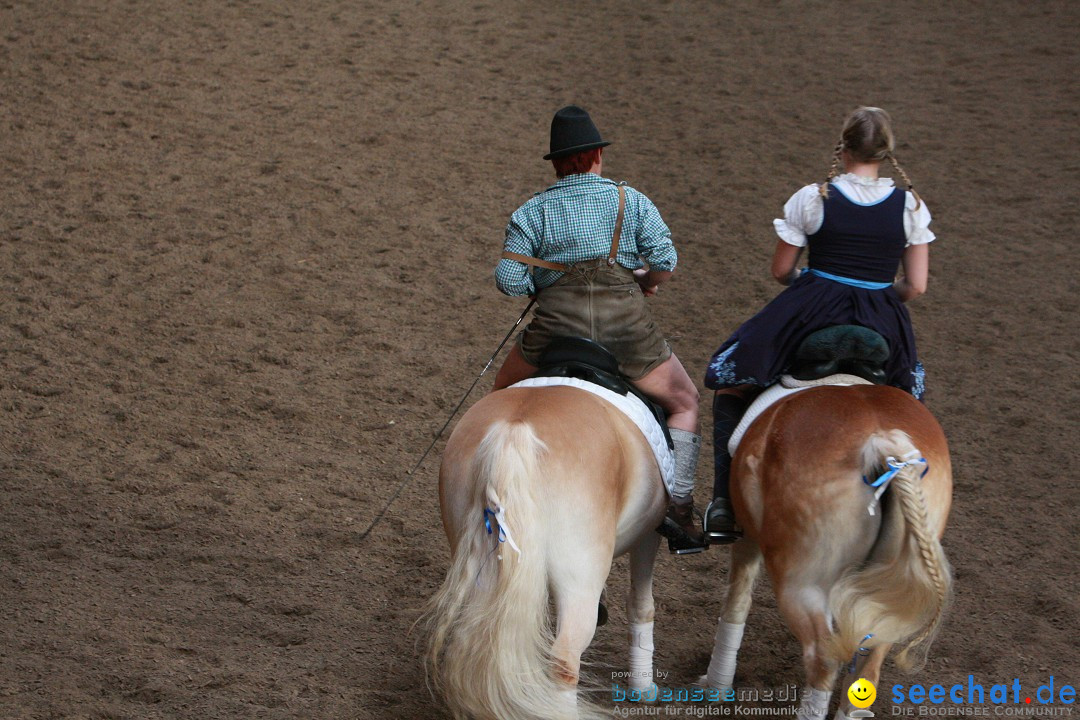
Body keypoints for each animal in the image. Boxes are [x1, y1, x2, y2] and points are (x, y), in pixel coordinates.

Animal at [423, 382, 665, 720]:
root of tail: (511, 431)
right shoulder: (650, 533)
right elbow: (642, 604)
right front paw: (643, 689)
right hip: (579, 582)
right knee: (564, 661)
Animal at [695, 388, 950, 720]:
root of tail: (882, 444)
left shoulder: (747, 538)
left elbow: (736, 601)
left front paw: (715, 685)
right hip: (886, 591)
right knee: (869, 665)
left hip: (800, 584)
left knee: (822, 657)